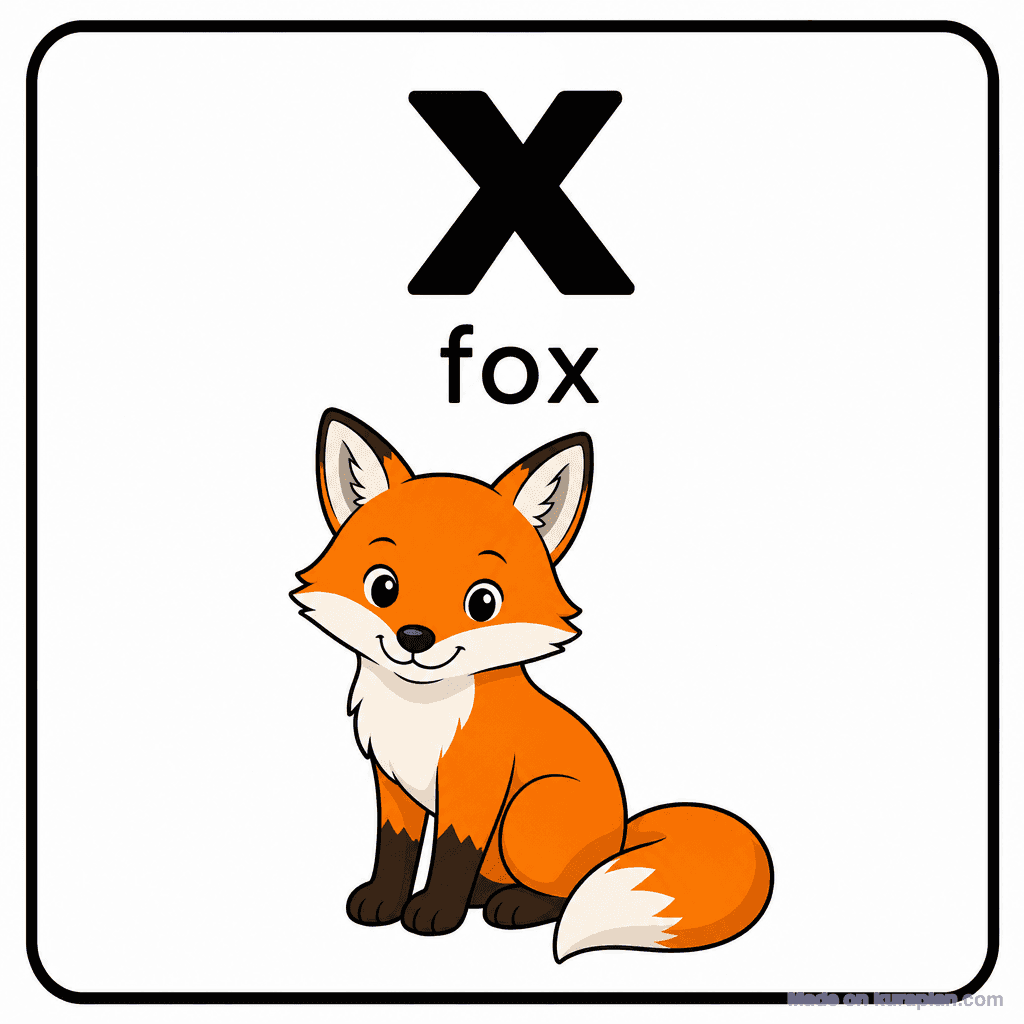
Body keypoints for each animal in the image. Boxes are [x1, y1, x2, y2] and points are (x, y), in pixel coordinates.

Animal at [291, 409, 773, 961]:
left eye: (483, 602)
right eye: (382, 587)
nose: (414, 637)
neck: (421, 711)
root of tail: (622, 837)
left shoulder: (476, 789)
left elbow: (452, 854)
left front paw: (436, 913)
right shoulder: (392, 782)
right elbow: (396, 850)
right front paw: (384, 901)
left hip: (528, 811)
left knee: (568, 892)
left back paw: (515, 906)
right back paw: (485, 893)